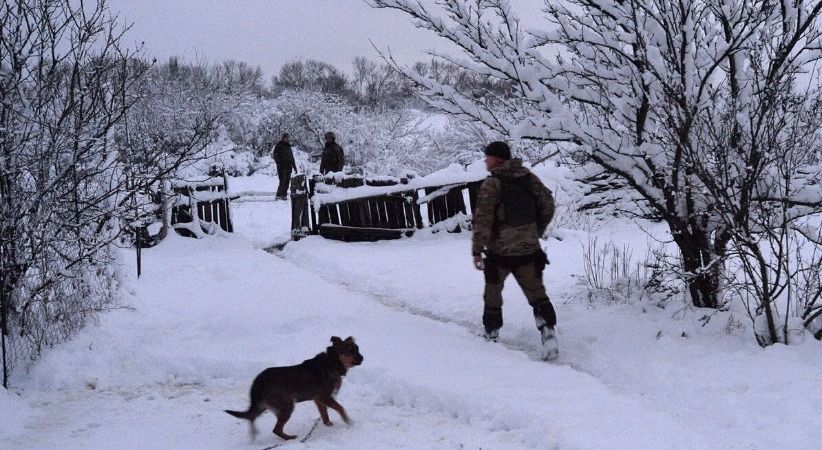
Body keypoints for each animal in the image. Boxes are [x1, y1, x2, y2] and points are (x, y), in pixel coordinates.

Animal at [227, 338, 366, 440]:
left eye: (357, 349)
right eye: (349, 351)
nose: (362, 358)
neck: (332, 362)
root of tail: (259, 380)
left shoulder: (318, 399)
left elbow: (324, 414)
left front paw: (328, 425)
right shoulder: (324, 397)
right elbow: (340, 408)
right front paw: (348, 421)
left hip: (264, 405)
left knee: (252, 417)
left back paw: (254, 433)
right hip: (287, 405)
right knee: (275, 429)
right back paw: (289, 438)